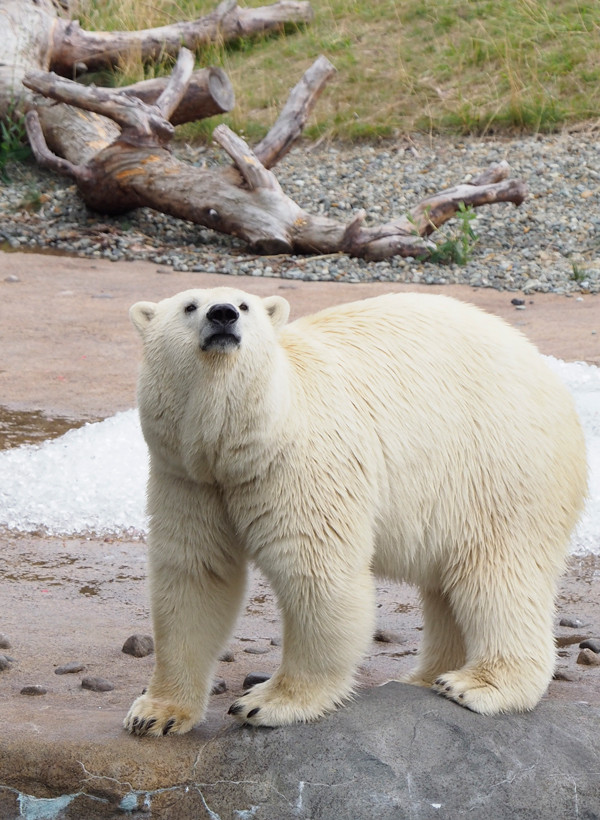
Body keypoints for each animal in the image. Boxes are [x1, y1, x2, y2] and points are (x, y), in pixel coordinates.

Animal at [124, 288, 588, 736]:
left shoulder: (300, 464)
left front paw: (268, 702)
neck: (244, 444)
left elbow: (316, 571)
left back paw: (474, 684)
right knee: (449, 587)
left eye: (244, 305)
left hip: (499, 469)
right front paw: (155, 714)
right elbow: (195, 575)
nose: (222, 315)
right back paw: (422, 677)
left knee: (496, 575)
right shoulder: (188, 478)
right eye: (189, 305)